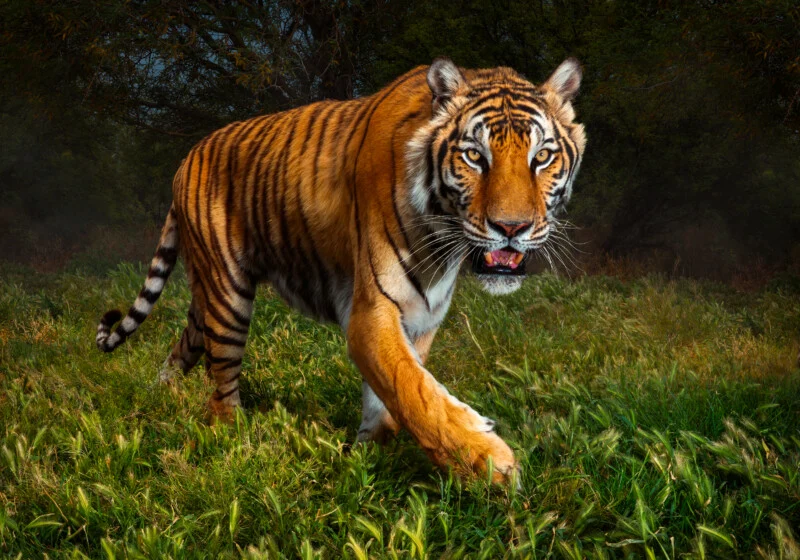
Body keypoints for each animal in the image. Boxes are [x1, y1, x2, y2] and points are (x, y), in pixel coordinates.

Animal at [95, 57, 586, 483]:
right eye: (474, 157)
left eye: (542, 157)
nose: (512, 228)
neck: (441, 239)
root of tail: (185, 159)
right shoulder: (373, 311)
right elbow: (413, 390)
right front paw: (490, 464)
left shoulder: (422, 316)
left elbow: (391, 398)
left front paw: (367, 457)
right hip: (228, 296)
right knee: (221, 388)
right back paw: (233, 439)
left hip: (207, 298)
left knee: (185, 345)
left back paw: (159, 396)